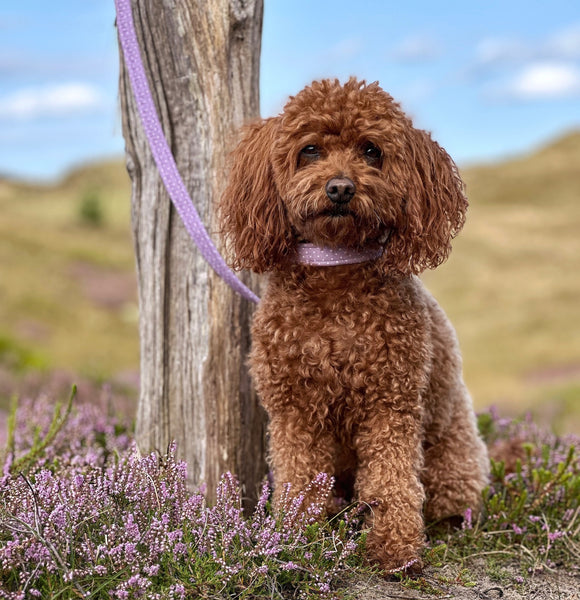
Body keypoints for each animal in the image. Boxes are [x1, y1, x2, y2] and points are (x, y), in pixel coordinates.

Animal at [220, 77, 488, 576]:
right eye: (310, 150)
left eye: (371, 150)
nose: (341, 188)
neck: (336, 268)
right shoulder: (295, 410)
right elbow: (300, 478)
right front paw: (294, 539)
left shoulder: (390, 405)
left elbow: (391, 482)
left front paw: (396, 550)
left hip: (453, 463)